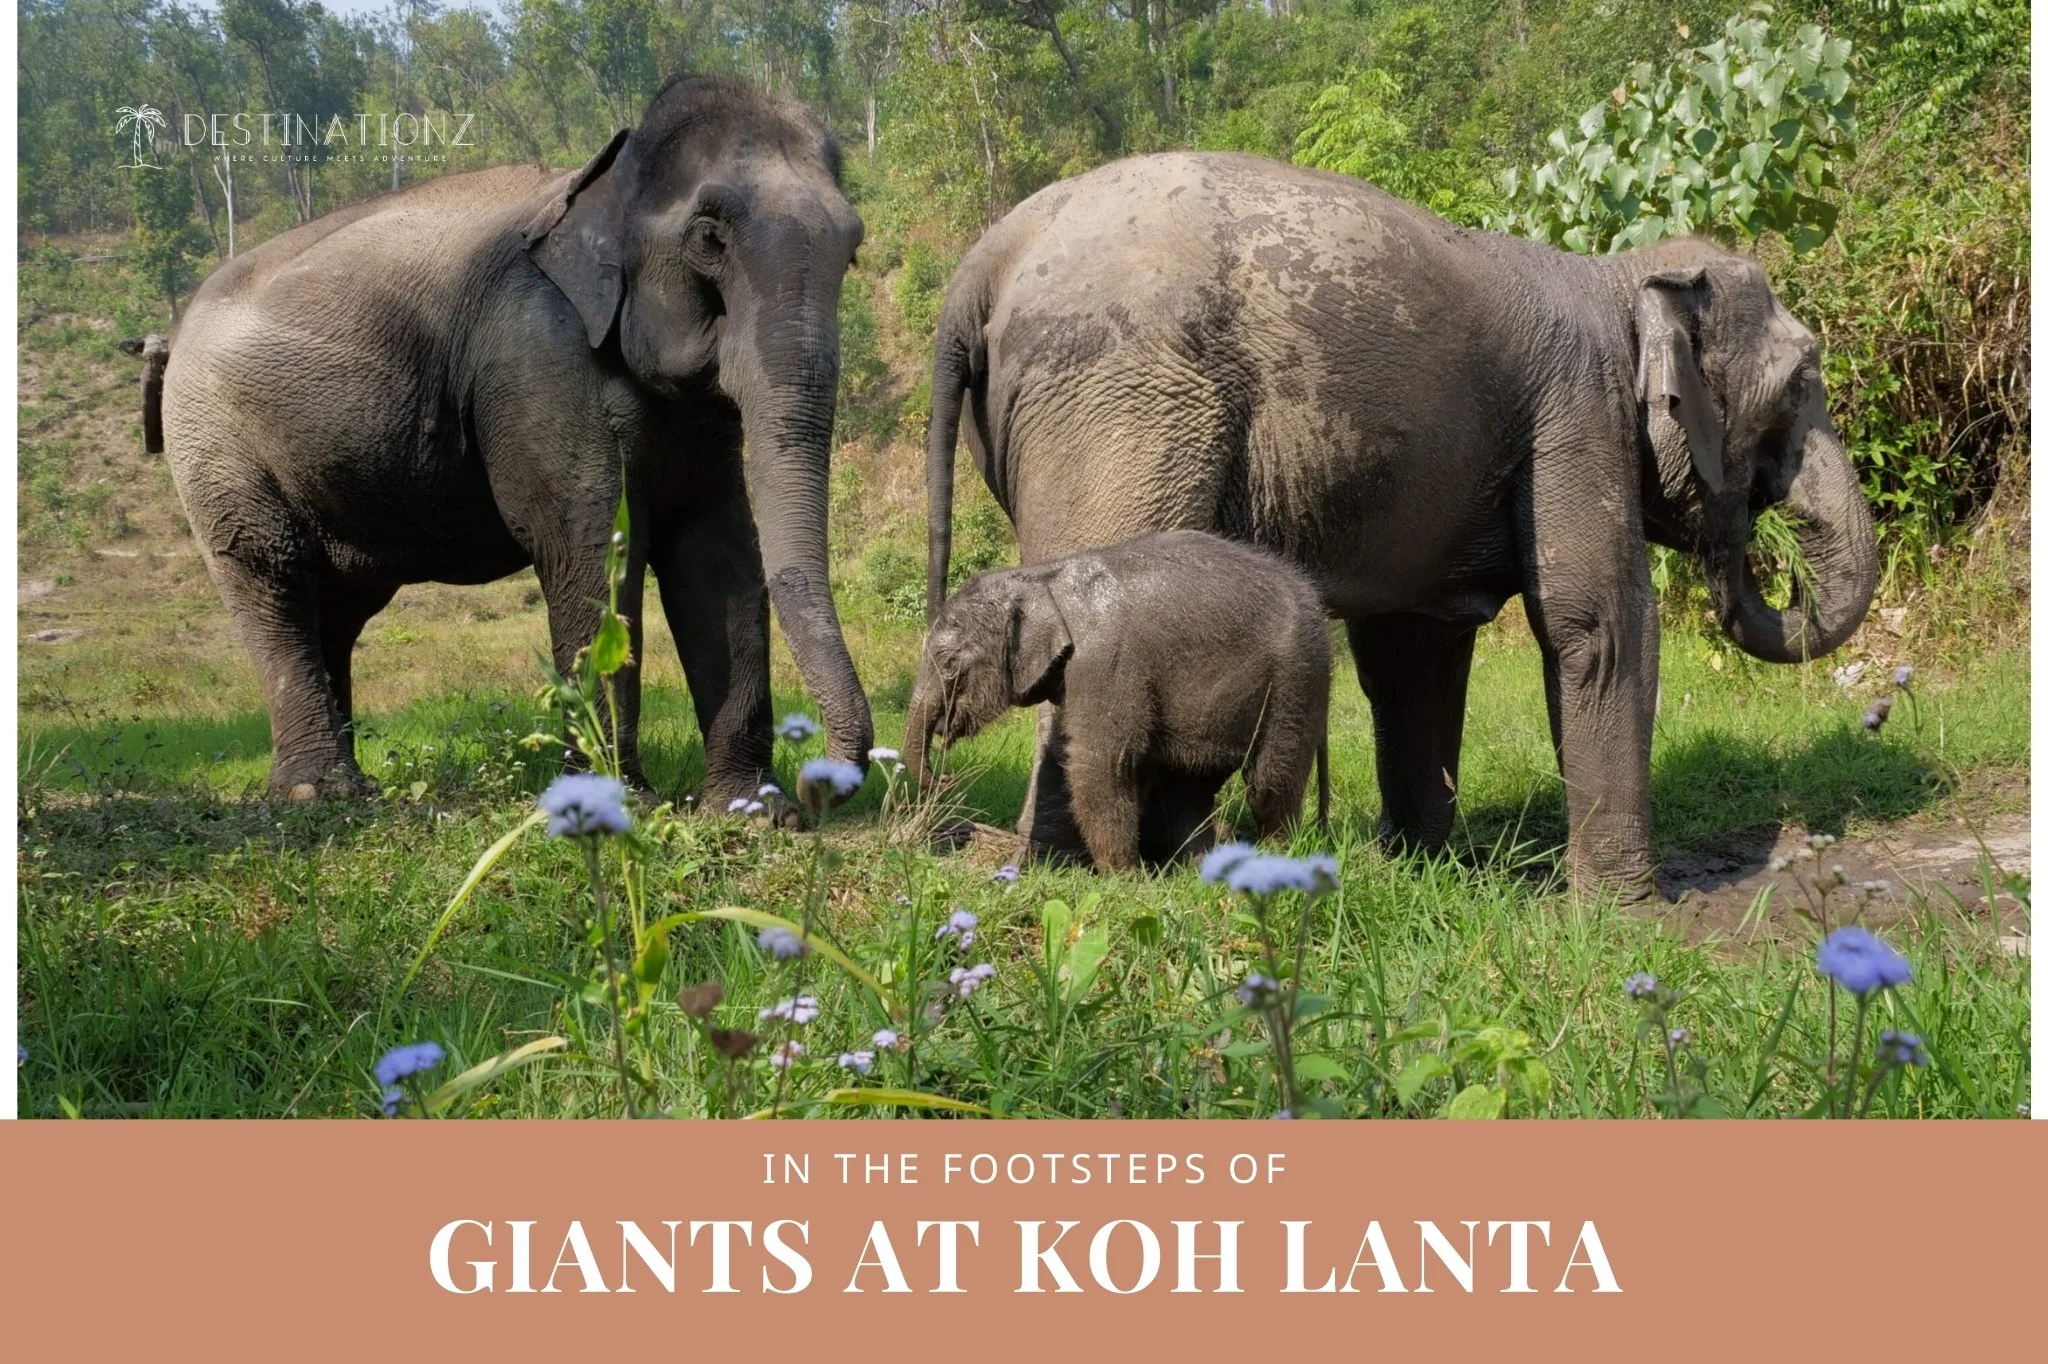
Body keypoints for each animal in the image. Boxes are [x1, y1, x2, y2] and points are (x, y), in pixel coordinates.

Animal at [146, 76, 872, 811]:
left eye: (852, 251)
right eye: (708, 238)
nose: (819, 784)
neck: (603, 180)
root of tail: (171, 336)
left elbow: (717, 548)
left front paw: (753, 812)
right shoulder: (537, 358)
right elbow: (593, 543)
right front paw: (621, 803)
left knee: (340, 607)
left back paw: (354, 786)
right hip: (215, 444)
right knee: (271, 578)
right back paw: (318, 793)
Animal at [904, 530, 1331, 870]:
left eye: (949, 663)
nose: (947, 778)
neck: (1043, 576)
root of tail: (1316, 602)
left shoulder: (1105, 663)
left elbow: (1100, 762)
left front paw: (1124, 880)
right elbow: (1061, 754)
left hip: (1297, 679)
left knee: (1268, 784)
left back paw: (1277, 862)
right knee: (1189, 789)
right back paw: (1199, 870)